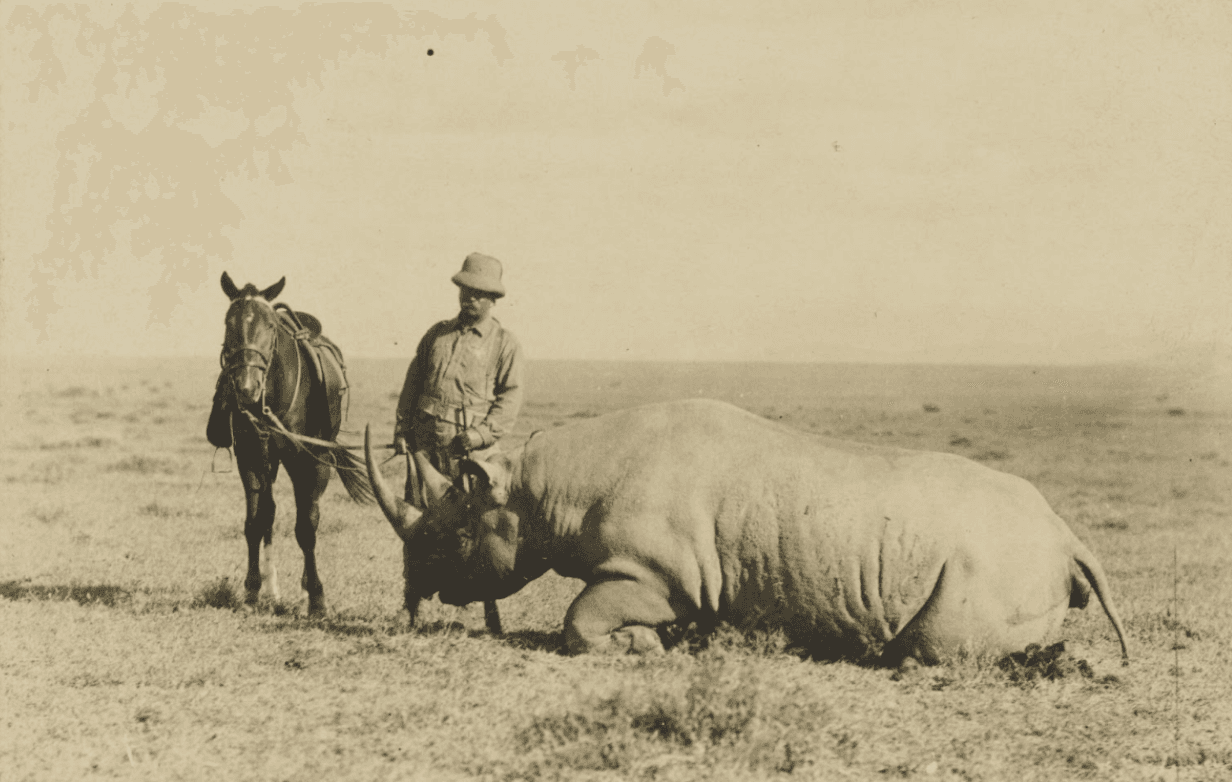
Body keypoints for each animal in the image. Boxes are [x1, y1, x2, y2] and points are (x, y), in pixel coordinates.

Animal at [364, 399, 1129, 665]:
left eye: (450, 539)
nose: (417, 586)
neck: (538, 489)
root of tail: (1067, 537)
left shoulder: (654, 574)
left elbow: (580, 622)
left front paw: (641, 646)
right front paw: (672, 643)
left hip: (994, 561)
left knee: (937, 648)